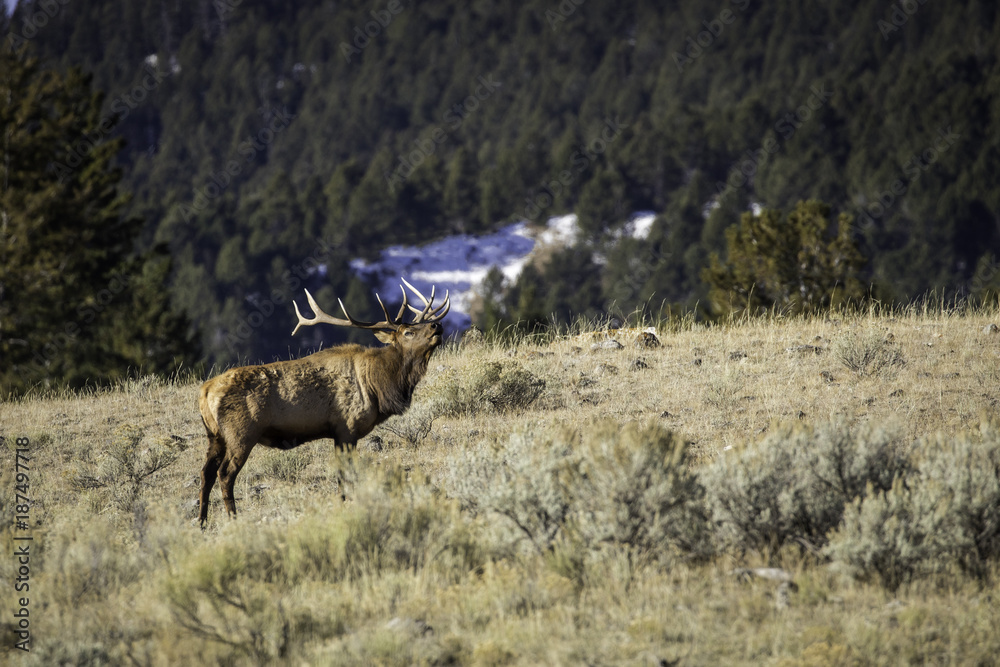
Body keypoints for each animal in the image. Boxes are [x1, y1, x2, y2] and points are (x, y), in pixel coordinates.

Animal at [197, 278, 449, 526]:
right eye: (408, 332)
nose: (437, 326)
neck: (380, 386)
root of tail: (205, 391)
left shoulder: (339, 432)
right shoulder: (346, 427)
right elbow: (345, 474)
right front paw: (347, 503)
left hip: (215, 436)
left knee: (206, 472)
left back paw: (202, 521)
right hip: (241, 433)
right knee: (225, 473)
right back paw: (233, 518)